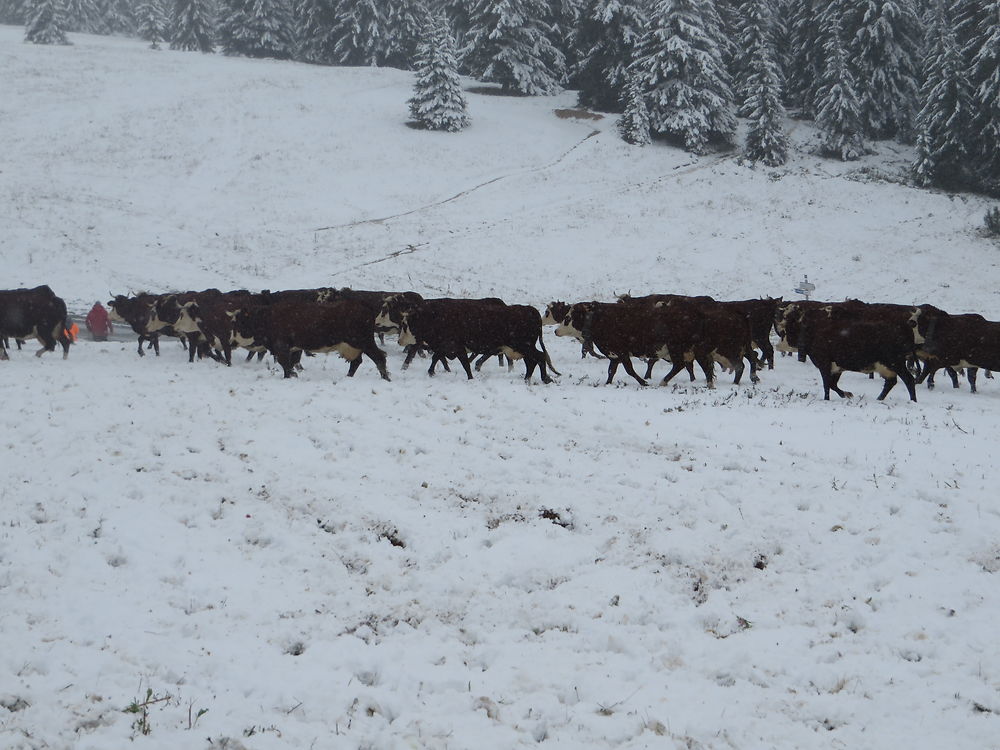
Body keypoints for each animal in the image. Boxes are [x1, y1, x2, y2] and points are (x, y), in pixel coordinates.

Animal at [231, 300, 390, 382]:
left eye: (239, 322)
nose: (231, 342)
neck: (266, 317)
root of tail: (365, 308)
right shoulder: (294, 348)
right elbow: (291, 363)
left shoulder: (281, 347)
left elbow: (285, 364)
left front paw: (289, 377)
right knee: (357, 362)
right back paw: (348, 377)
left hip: (363, 342)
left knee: (379, 357)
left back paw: (385, 378)